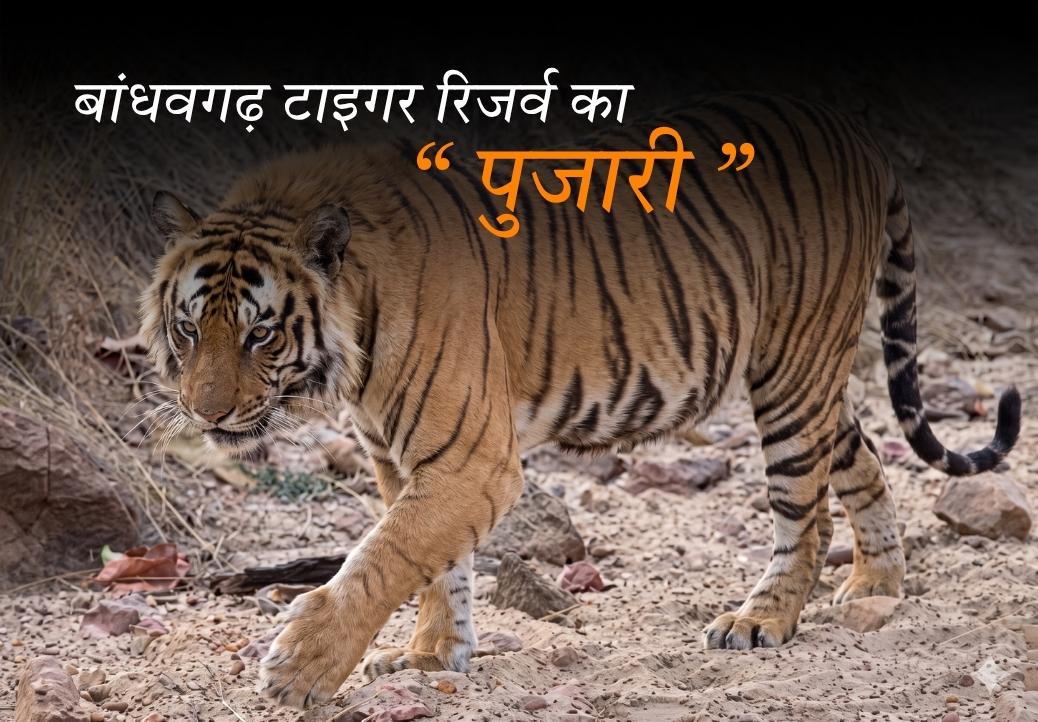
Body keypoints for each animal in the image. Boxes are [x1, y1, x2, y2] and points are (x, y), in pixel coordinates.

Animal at [140, 93, 1021, 709]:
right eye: (188, 327)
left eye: (260, 334)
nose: (206, 414)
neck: (353, 341)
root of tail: (855, 134)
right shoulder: (400, 457)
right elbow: (432, 564)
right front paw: (433, 654)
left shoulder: (471, 458)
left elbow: (383, 557)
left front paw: (301, 667)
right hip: (807, 372)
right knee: (863, 457)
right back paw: (877, 587)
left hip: (791, 366)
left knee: (802, 513)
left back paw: (762, 620)